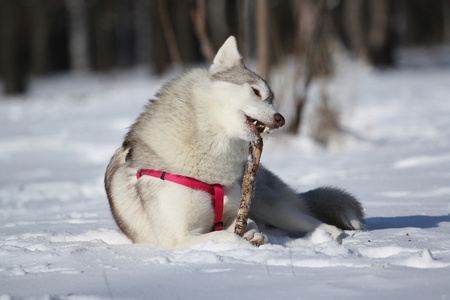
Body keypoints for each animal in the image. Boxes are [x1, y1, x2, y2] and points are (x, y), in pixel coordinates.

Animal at [103, 36, 364, 250]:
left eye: (271, 100)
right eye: (256, 92)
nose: (281, 119)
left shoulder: (235, 211)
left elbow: (249, 224)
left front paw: (253, 235)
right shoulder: (178, 238)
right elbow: (226, 236)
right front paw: (243, 238)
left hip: (271, 205)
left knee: (318, 223)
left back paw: (329, 236)